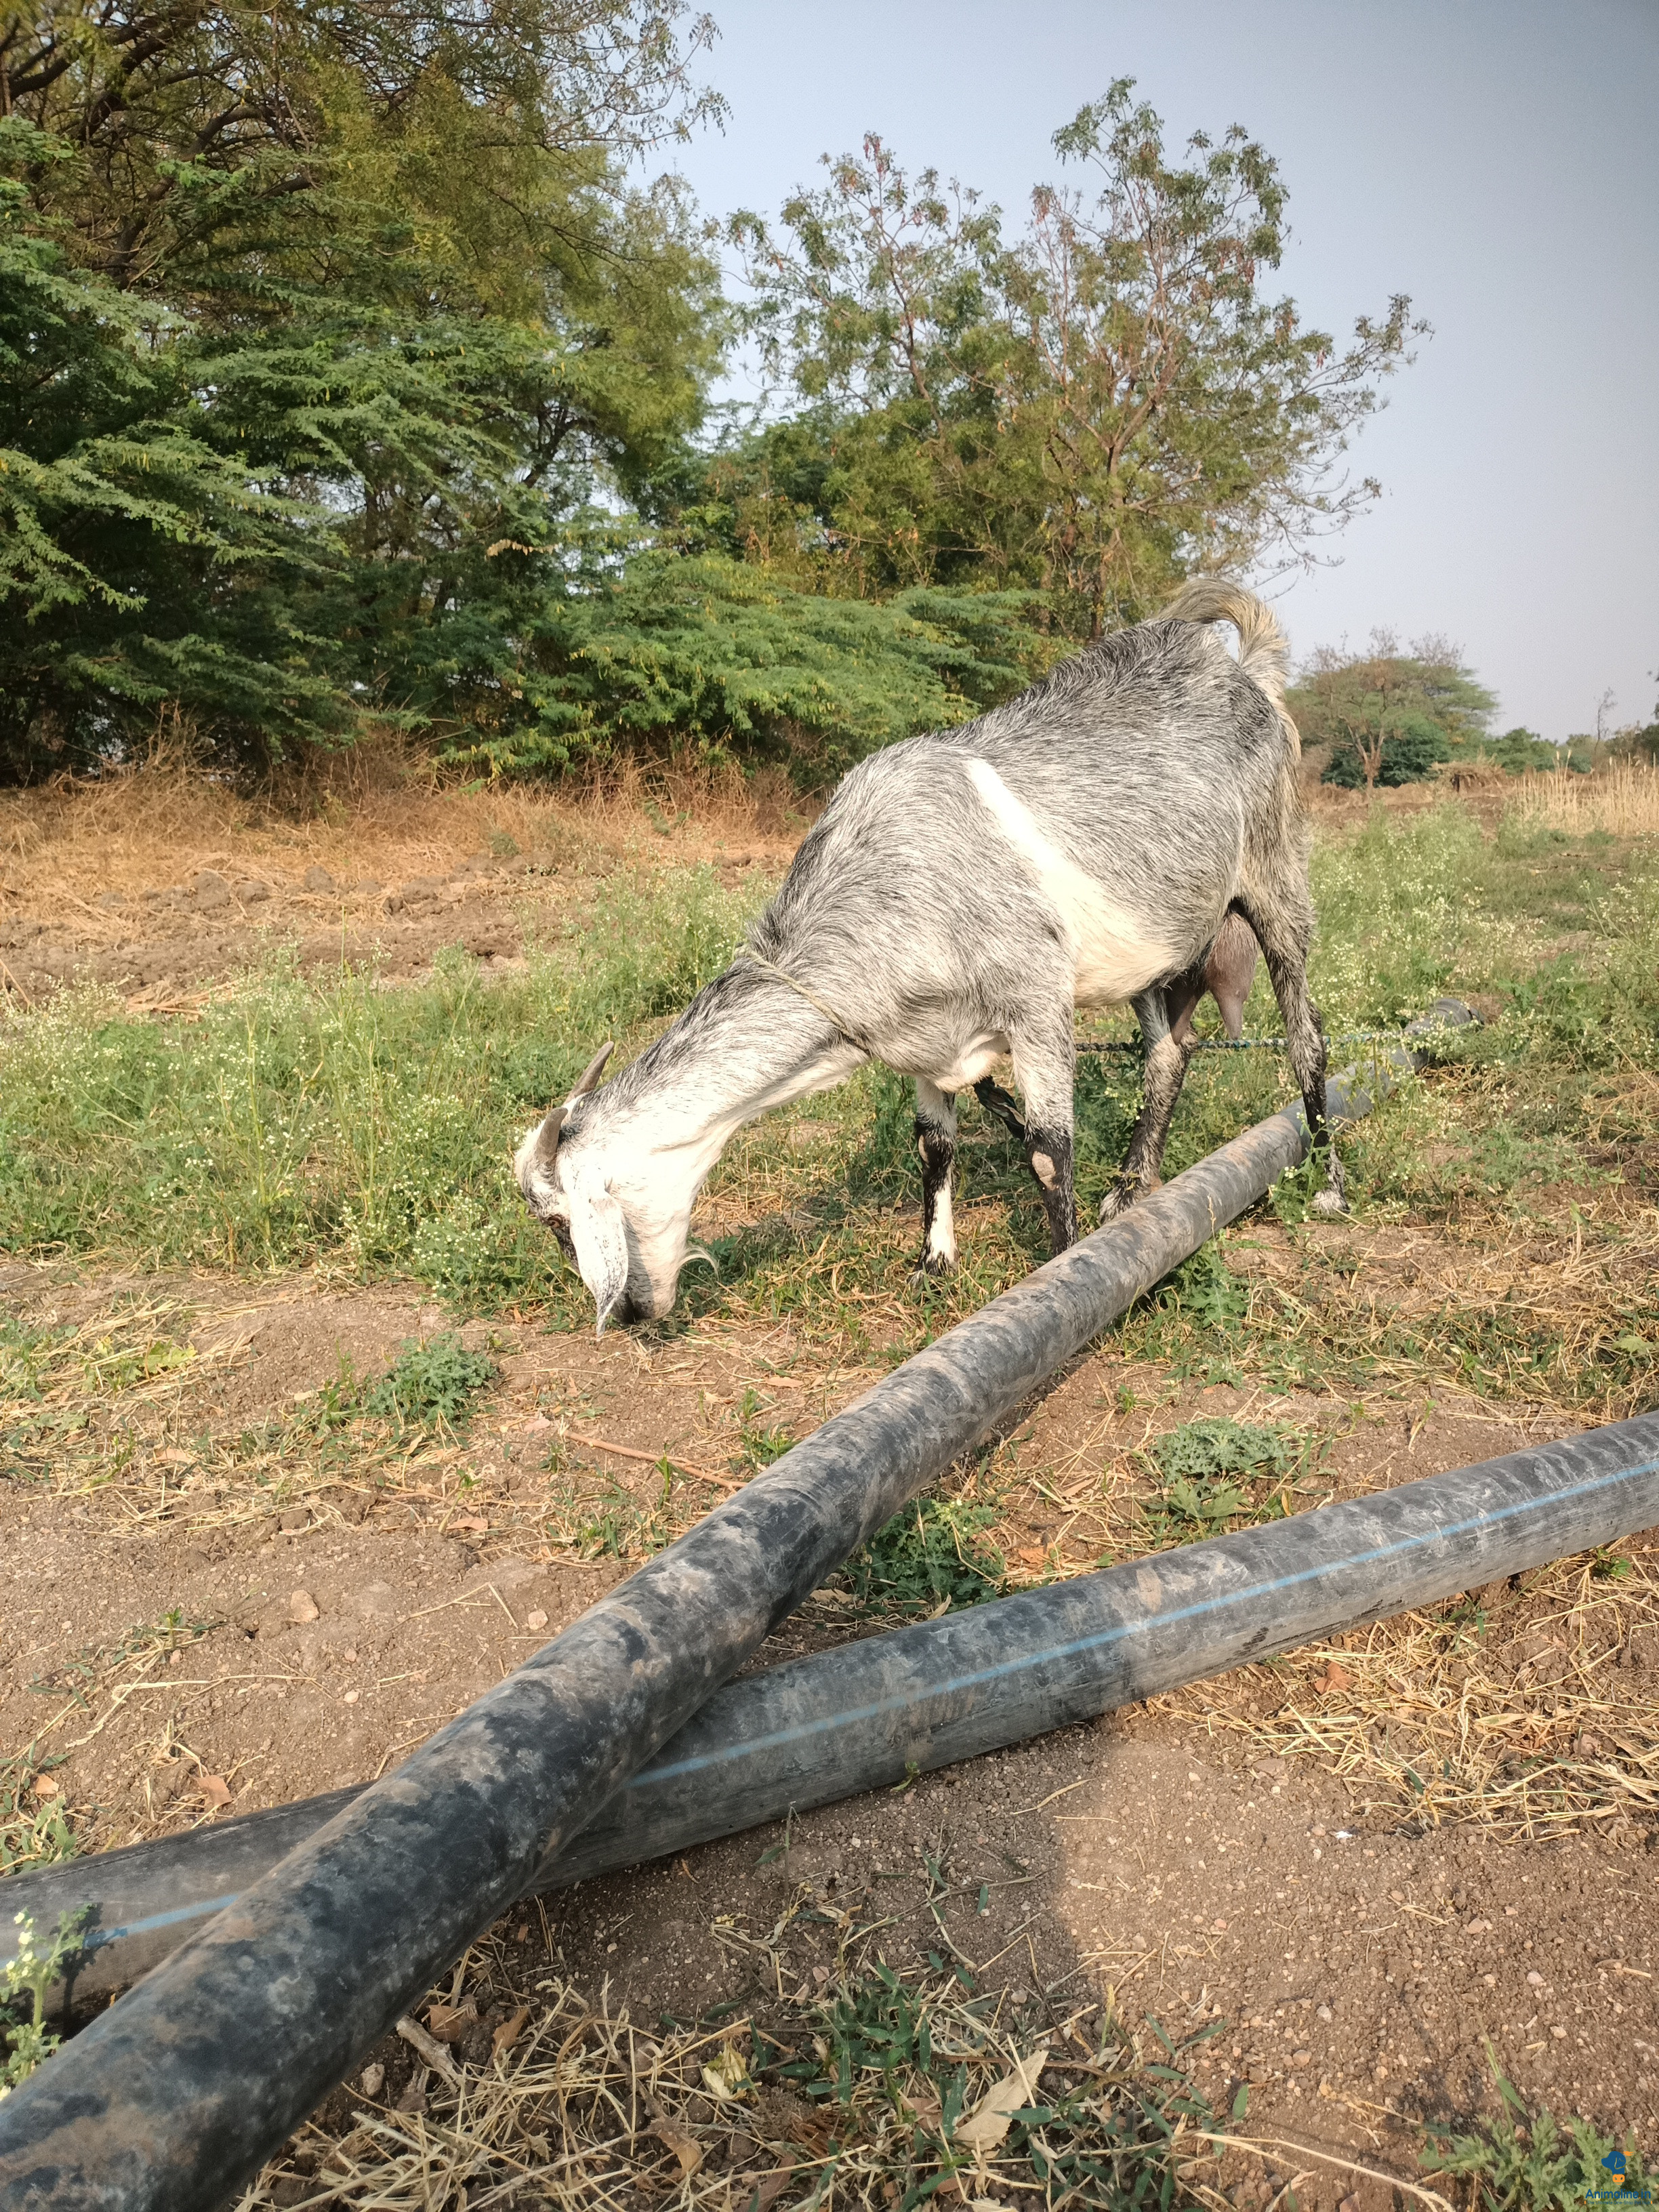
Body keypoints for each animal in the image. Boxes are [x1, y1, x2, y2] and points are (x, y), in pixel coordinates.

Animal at [515, 581, 1342, 1332]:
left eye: (558, 1222)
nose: (628, 1315)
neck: (888, 885)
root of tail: (1248, 673)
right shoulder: (921, 1037)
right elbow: (933, 1145)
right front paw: (933, 1262)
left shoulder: (1037, 997)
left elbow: (1048, 1150)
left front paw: (1067, 1277)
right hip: (1151, 939)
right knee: (1169, 1048)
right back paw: (1131, 1189)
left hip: (1276, 877)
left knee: (1306, 1038)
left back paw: (1327, 1179)